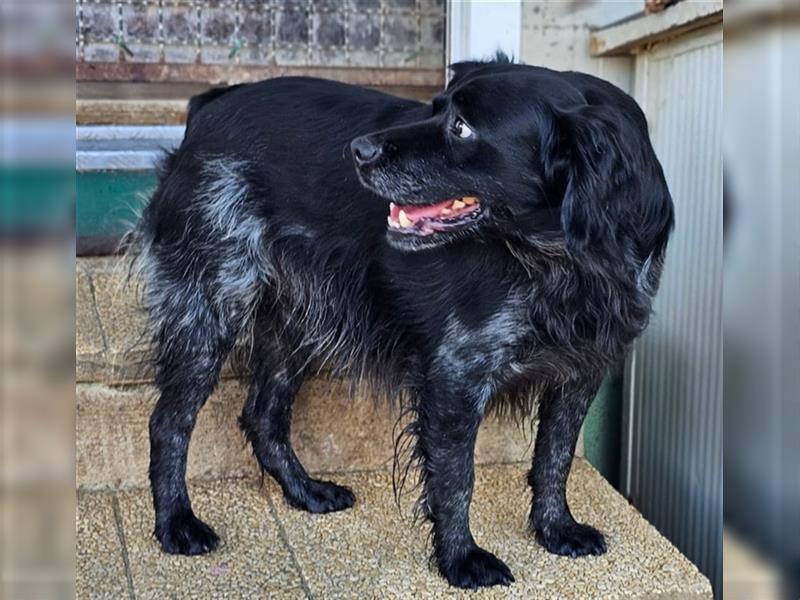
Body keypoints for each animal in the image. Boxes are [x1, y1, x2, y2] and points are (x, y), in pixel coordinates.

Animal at [131, 56, 676, 592]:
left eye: (460, 126)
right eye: (435, 108)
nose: (359, 150)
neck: (564, 259)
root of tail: (210, 105)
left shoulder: (582, 370)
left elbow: (555, 458)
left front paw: (556, 528)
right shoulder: (457, 371)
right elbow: (456, 478)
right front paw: (461, 559)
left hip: (297, 322)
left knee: (263, 415)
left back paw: (305, 492)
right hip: (211, 306)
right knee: (169, 422)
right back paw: (176, 523)